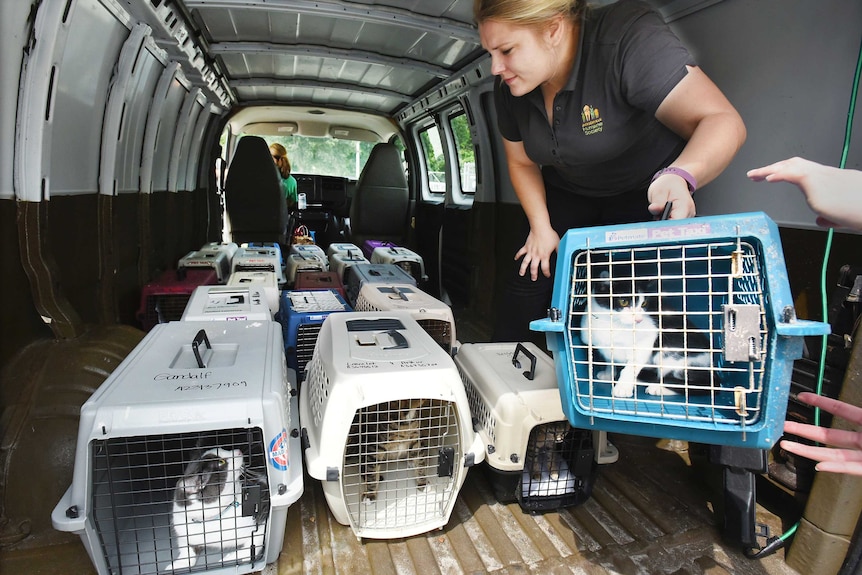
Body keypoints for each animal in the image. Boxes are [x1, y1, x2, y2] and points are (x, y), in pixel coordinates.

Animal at [584, 272, 720, 398]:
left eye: (643, 304)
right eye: (623, 301)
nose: (639, 319)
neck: (612, 324)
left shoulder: (648, 338)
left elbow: (631, 366)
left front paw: (623, 387)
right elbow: (609, 359)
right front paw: (609, 374)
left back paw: (657, 388)